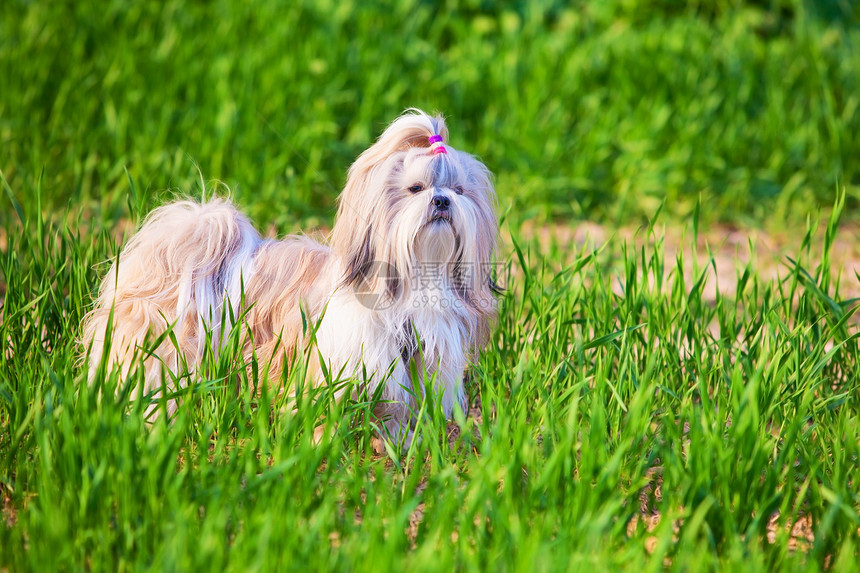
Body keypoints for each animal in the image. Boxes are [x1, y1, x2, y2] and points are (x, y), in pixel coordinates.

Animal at [82, 108, 498, 446]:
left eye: (459, 190)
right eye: (416, 188)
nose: (442, 200)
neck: (416, 282)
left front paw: (400, 444)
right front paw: (320, 445)